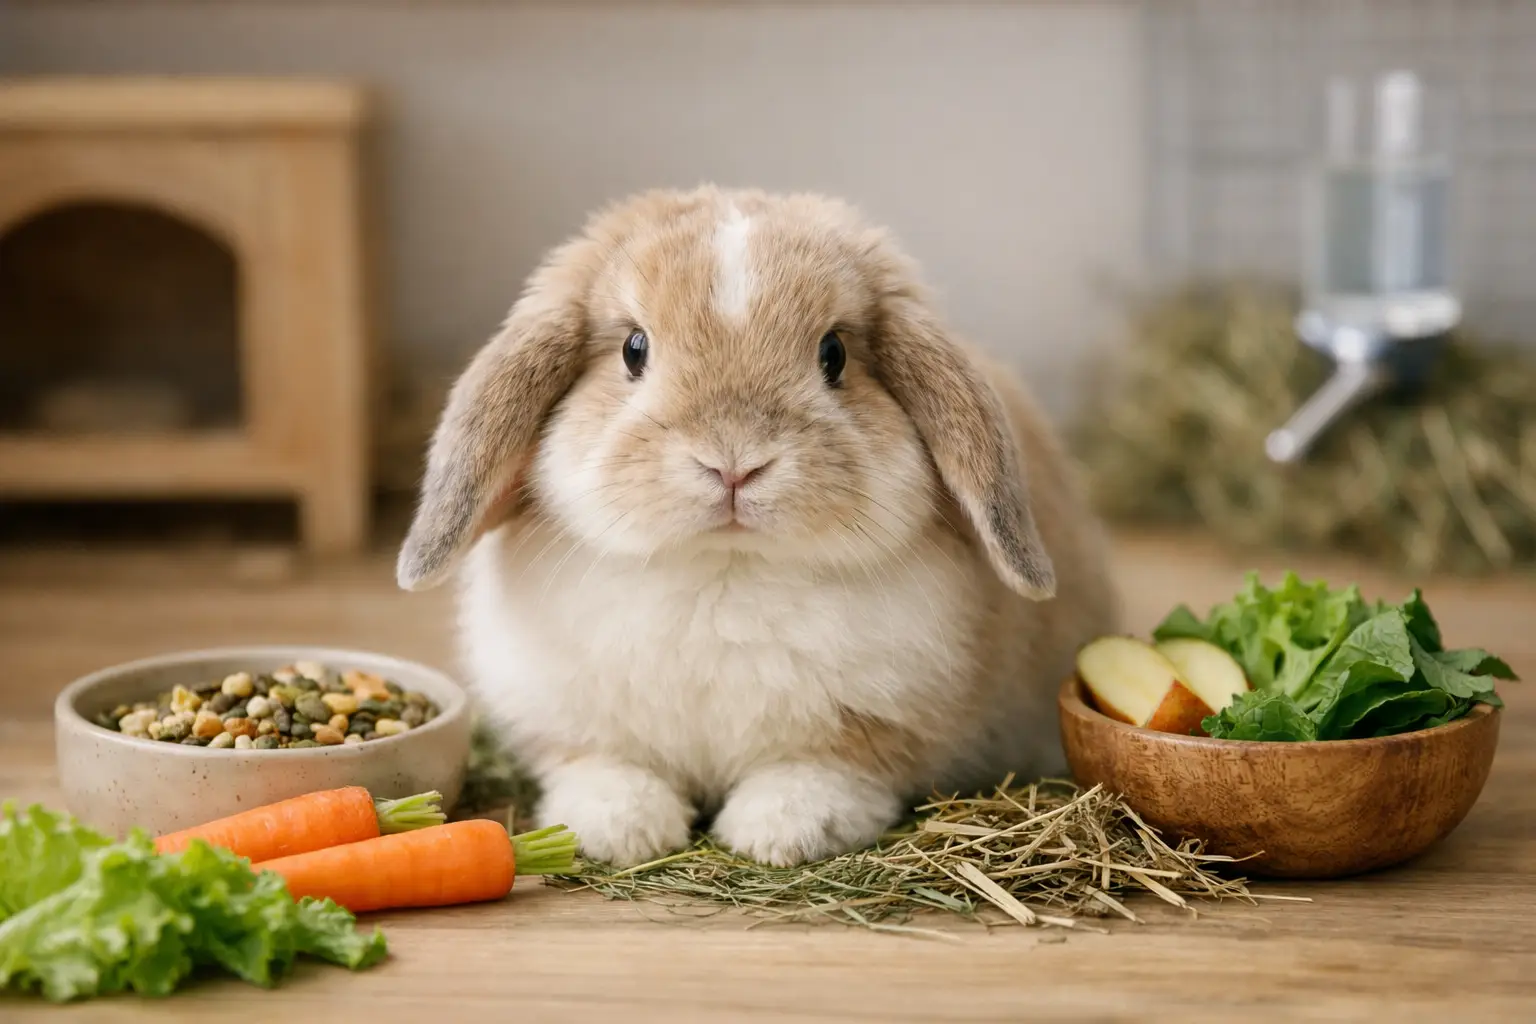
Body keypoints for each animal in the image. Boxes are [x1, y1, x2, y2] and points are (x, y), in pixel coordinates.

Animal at [396, 185, 1120, 868]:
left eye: (834, 354)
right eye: (634, 349)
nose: (734, 462)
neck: (725, 570)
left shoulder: (874, 727)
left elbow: (826, 772)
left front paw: (779, 832)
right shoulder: (573, 720)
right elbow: (602, 765)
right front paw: (620, 829)